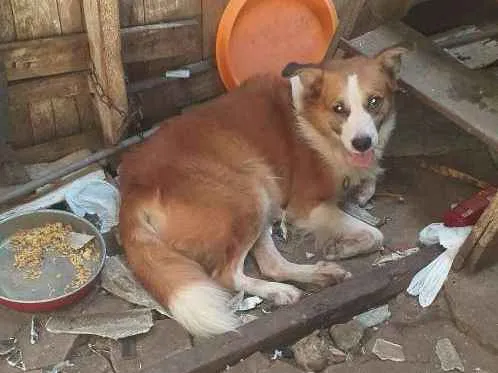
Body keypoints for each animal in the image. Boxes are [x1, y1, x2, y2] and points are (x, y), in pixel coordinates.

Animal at [118, 48, 406, 336]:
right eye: (339, 108)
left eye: (374, 102)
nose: (362, 143)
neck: (314, 120)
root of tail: (134, 189)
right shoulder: (305, 206)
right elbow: (376, 234)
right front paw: (343, 247)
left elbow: (371, 179)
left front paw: (363, 190)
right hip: (250, 194)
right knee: (227, 274)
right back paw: (282, 289)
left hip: (262, 193)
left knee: (271, 265)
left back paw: (315, 277)